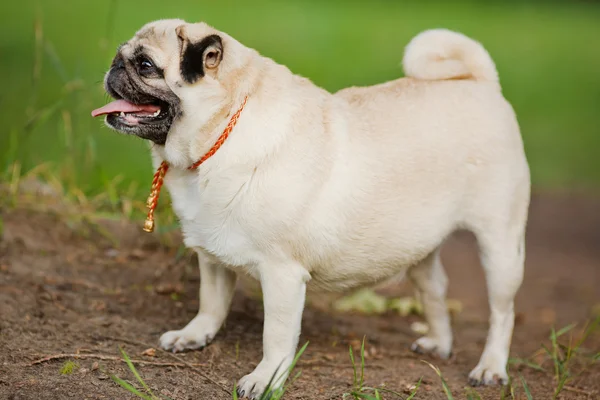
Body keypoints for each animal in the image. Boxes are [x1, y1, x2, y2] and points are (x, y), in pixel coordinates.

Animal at [91, 20, 528, 398]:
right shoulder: (212, 255)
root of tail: (480, 82)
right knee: (436, 289)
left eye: (145, 66)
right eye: (122, 56)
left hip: (500, 244)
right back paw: (438, 343)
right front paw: (194, 335)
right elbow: (210, 303)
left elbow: (275, 335)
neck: (223, 132)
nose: (113, 66)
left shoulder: (282, 274)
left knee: (502, 313)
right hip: (419, 245)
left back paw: (490, 368)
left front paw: (265, 379)